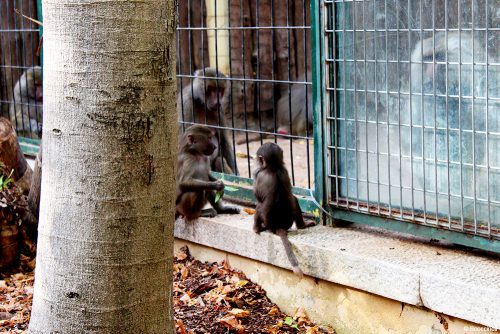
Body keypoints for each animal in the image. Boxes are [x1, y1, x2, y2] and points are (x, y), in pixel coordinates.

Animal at [252, 142, 314, 278]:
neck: (274, 167)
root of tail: (278, 226)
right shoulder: (285, 171)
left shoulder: (260, 175)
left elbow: (258, 197)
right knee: (294, 198)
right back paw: (303, 225)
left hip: (270, 223)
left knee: (259, 206)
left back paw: (257, 229)